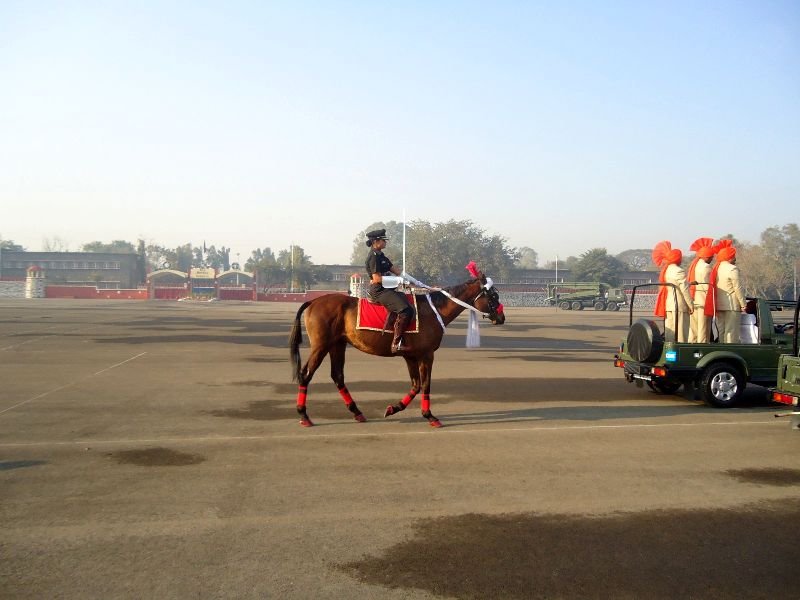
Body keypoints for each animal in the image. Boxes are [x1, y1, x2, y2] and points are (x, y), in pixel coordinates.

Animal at [290, 270, 506, 428]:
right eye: (493, 295)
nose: (501, 317)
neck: (433, 310)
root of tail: (314, 301)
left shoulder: (411, 356)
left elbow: (416, 385)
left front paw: (395, 408)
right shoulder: (426, 355)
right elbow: (425, 384)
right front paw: (430, 415)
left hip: (337, 345)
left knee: (337, 376)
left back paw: (357, 412)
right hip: (321, 346)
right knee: (306, 374)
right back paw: (304, 415)